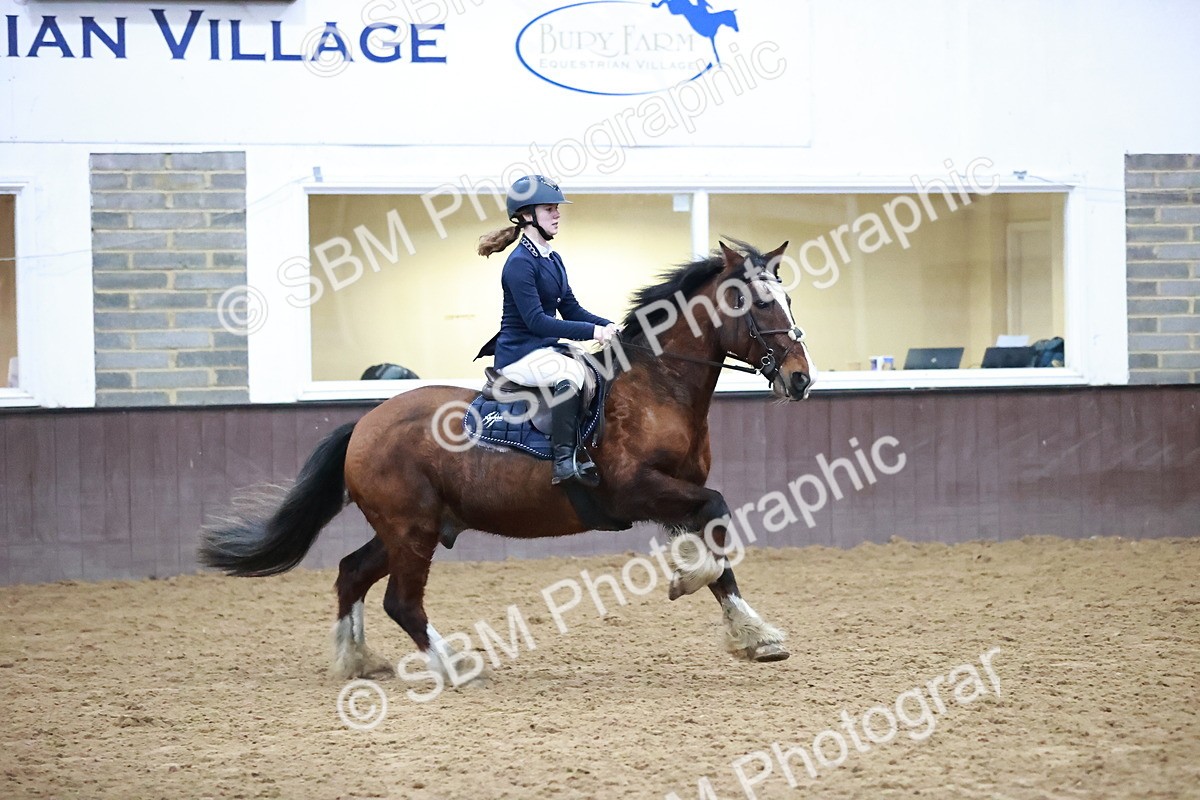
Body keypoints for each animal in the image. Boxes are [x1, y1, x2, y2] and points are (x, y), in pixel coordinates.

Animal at [198, 241, 816, 686]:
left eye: (788, 301)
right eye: (761, 303)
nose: (800, 380)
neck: (657, 385)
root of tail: (366, 423)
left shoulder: (675, 494)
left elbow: (719, 548)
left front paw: (755, 635)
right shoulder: (637, 490)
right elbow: (718, 519)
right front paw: (687, 581)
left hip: (411, 526)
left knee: (352, 572)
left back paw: (357, 663)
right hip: (412, 528)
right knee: (402, 601)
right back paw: (453, 668)